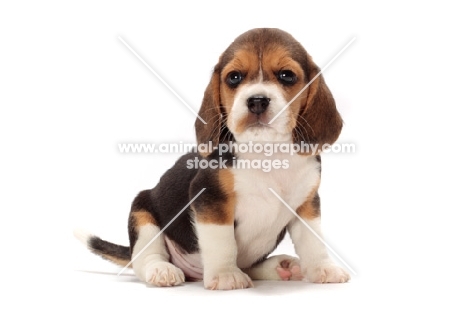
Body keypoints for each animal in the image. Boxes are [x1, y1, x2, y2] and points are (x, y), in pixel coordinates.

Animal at [76, 28, 348, 292]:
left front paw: (324, 268)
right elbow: (222, 242)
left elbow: (313, 242)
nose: (257, 101)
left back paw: (282, 267)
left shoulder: (306, 204)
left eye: (286, 76)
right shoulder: (210, 198)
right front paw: (226, 275)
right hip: (142, 211)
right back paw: (162, 270)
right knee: (145, 257)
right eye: (234, 77)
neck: (266, 152)